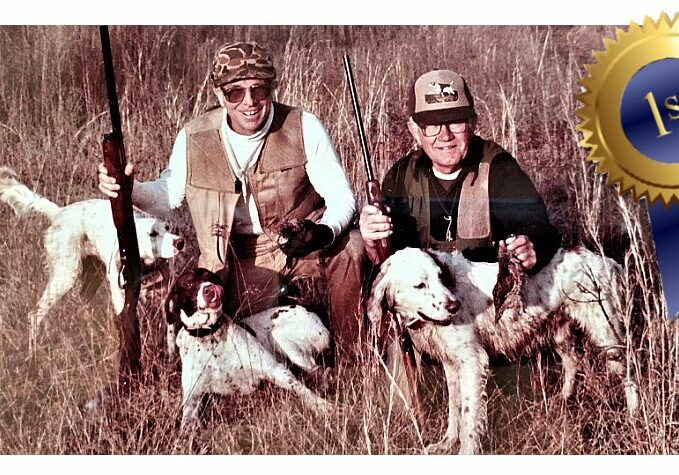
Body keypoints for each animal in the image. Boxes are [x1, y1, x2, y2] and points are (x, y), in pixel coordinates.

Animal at [166, 268, 334, 428]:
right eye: (188, 284)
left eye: (209, 276)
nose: (209, 289)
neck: (210, 336)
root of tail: (308, 310)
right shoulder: (192, 394)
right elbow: (187, 421)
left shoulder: (274, 369)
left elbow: (301, 389)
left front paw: (321, 405)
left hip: (281, 336)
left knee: (317, 369)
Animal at [370, 247, 640, 456]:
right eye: (420, 285)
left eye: (440, 278)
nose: (454, 306)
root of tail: (609, 263)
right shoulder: (452, 363)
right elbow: (454, 409)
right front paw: (446, 443)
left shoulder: (472, 361)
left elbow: (469, 414)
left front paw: (465, 451)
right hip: (561, 331)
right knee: (573, 360)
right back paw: (563, 398)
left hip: (607, 334)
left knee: (629, 373)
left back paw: (634, 415)